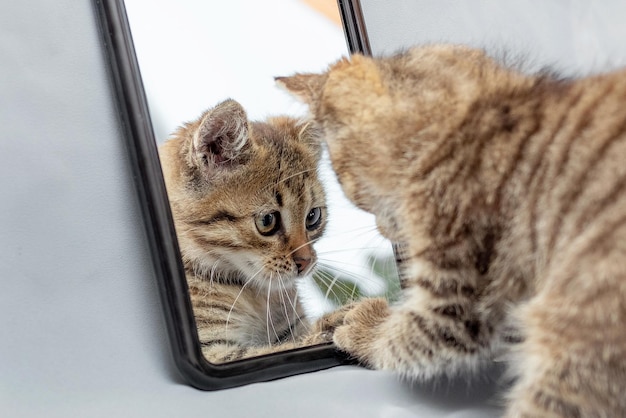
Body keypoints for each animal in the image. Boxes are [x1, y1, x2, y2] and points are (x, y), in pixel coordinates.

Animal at [158, 99, 336, 362]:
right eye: (267, 221)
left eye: (313, 217)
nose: (306, 262)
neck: (254, 295)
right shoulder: (214, 349)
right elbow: (283, 348)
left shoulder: (292, 326)